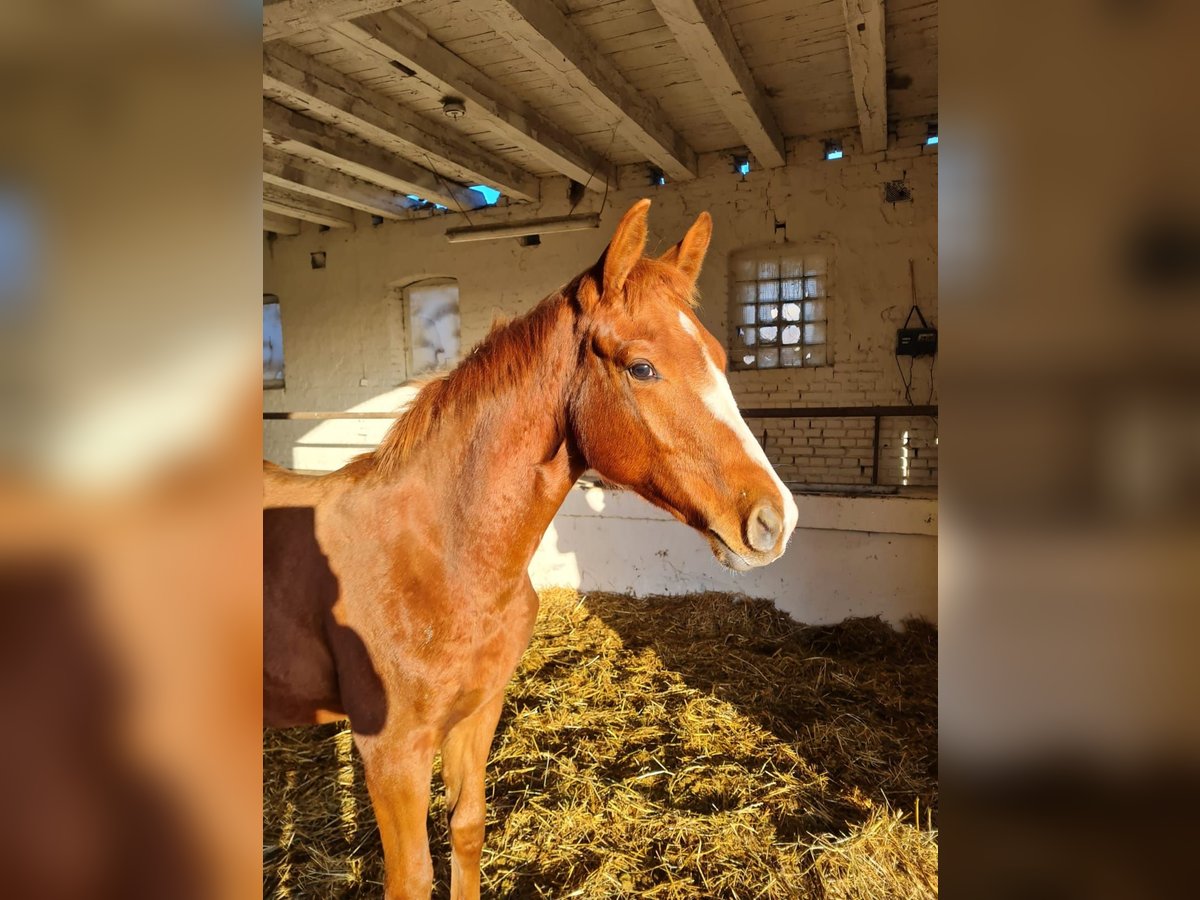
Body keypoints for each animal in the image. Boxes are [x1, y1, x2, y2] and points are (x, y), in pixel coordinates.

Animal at [262, 200, 796, 897]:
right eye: (642, 367)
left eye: (720, 356)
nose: (774, 520)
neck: (443, 557)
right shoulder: (390, 750)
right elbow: (412, 874)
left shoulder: (477, 715)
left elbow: (466, 829)